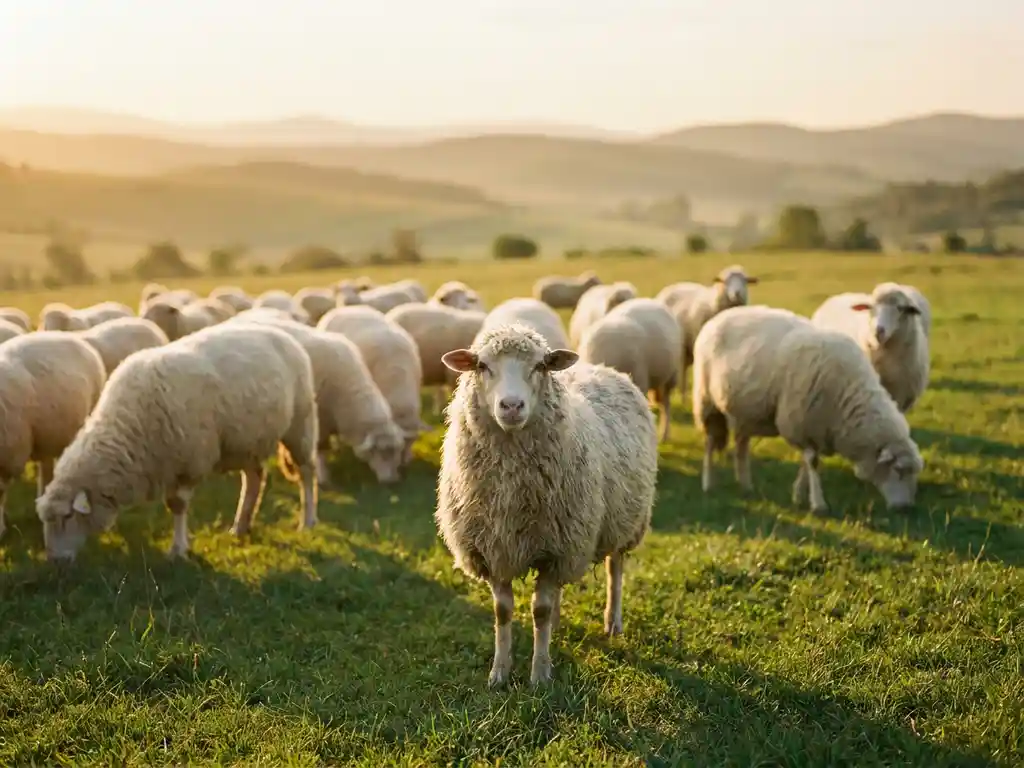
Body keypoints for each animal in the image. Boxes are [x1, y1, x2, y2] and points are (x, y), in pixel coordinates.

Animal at [35, 323, 320, 562]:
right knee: (254, 478)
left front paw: (178, 549)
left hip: (300, 423)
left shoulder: (189, 463)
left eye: (68, 516)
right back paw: (240, 526)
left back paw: (307, 521)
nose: (55, 561)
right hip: (245, 441)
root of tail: (281, 334)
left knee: (306, 471)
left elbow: (178, 505)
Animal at [231, 313, 408, 484]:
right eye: (381, 452)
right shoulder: (321, 422)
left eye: (397, 451)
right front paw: (323, 477)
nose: (392, 481)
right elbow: (321, 449)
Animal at [437, 324, 658, 687]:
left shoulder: (556, 549)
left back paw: (613, 621)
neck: (510, 486)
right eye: (481, 366)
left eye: (540, 366)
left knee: (615, 568)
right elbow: (503, 612)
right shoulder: (496, 548)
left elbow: (538, 610)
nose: (512, 406)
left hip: (623, 521)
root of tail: (605, 369)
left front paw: (540, 674)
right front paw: (499, 673)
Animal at [656, 264, 758, 399]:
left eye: (744, 281)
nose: (737, 293)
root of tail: (668, 289)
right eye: (725, 281)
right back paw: (683, 396)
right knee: (682, 373)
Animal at [692, 305, 924, 512]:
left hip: (744, 412)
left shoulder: (813, 428)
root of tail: (718, 317)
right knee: (710, 443)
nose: (905, 508)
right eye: (898, 470)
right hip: (707, 401)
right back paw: (708, 484)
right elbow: (812, 462)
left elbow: (806, 462)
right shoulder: (800, 423)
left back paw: (745, 485)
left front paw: (798, 495)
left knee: (741, 445)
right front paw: (818, 503)